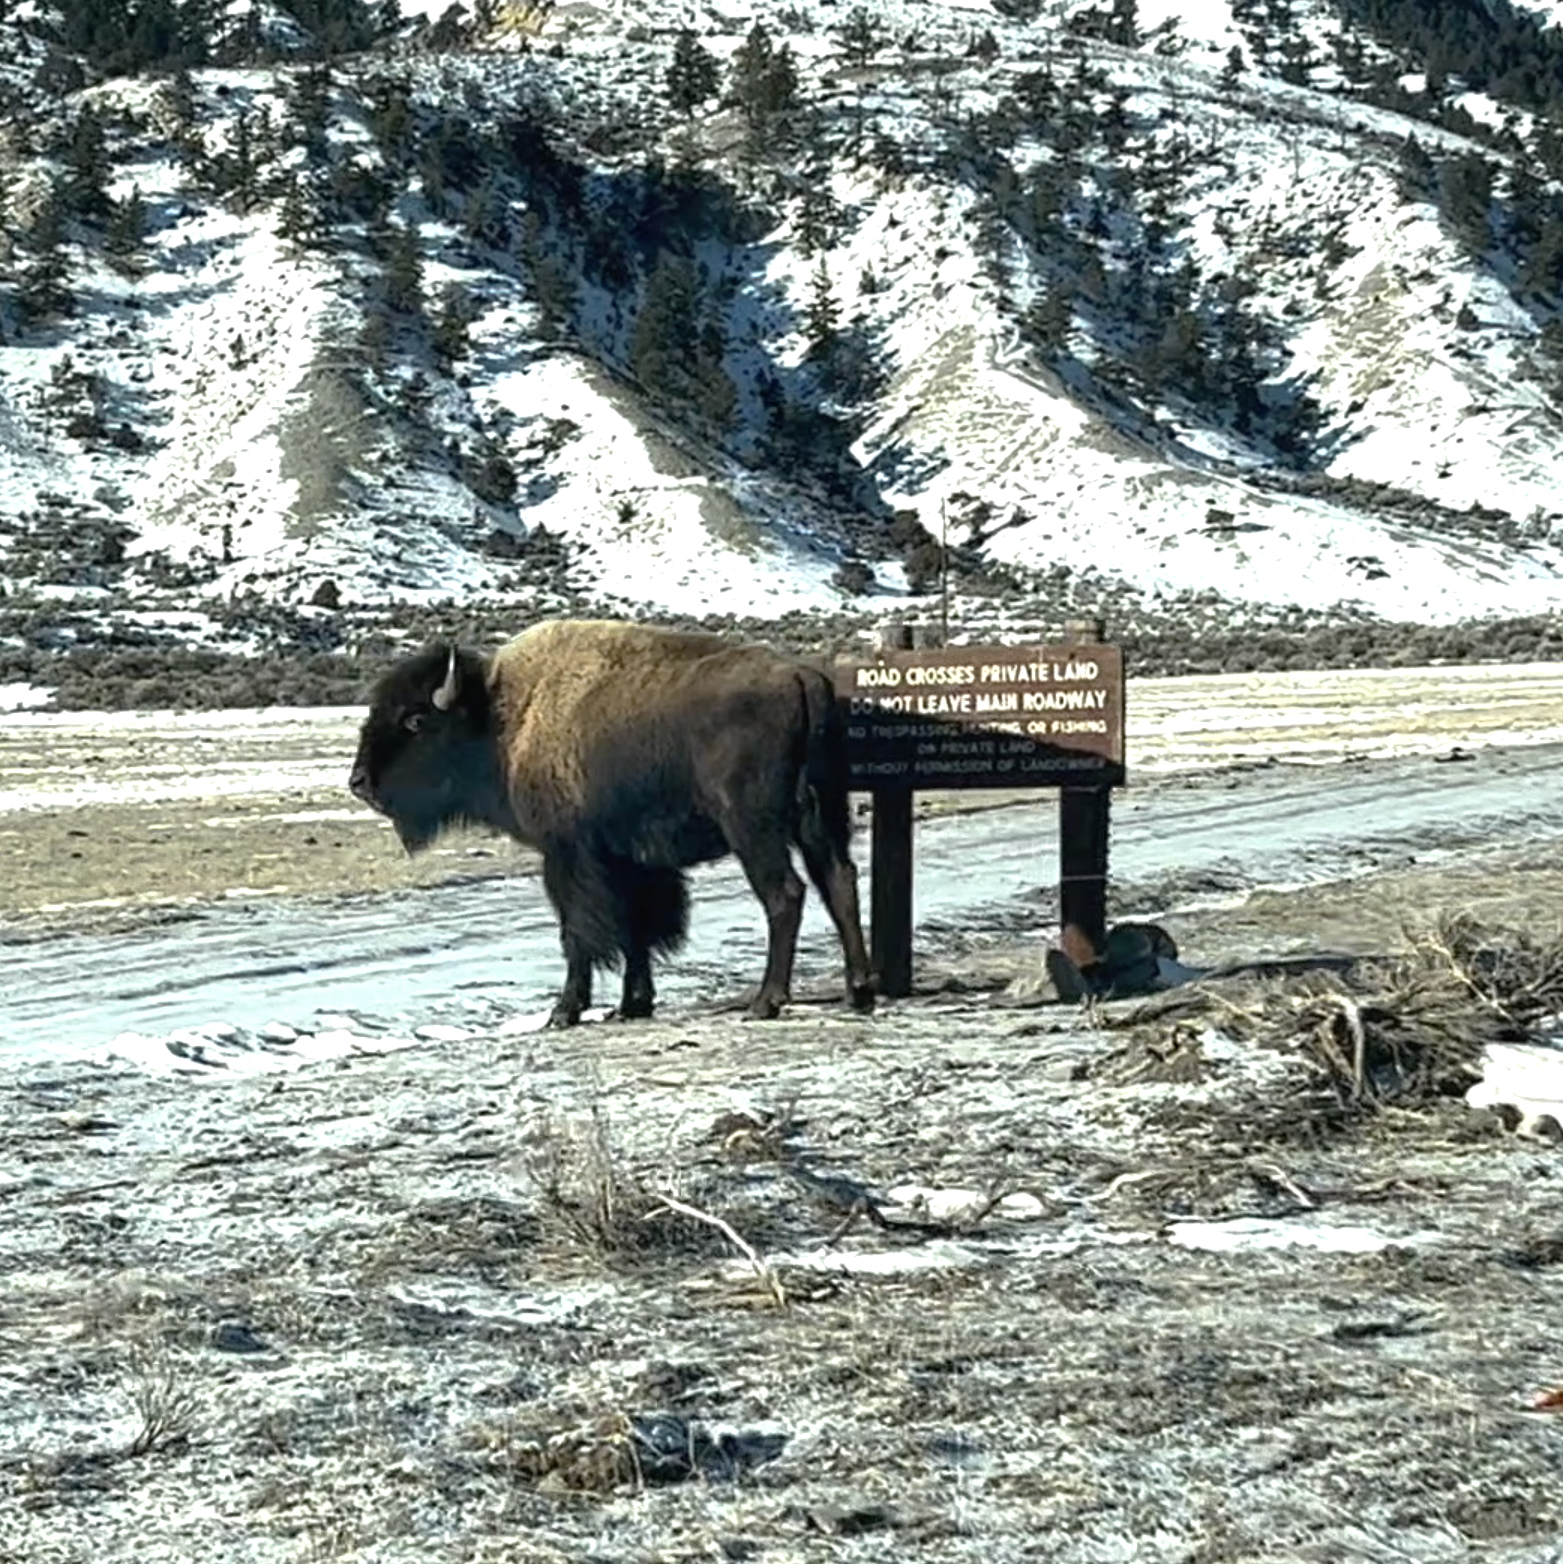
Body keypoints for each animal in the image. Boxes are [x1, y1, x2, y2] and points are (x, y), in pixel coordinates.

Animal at [348, 618, 876, 1027]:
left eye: (415, 721)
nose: (359, 782)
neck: (504, 717)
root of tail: (802, 678)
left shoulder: (569, 856)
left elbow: (579, 933)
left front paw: (564, 1012)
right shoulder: (630, 862)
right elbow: (635, 929)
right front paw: (632, 1004)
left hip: (753, 828)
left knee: (785, 895)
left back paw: (766, 1001)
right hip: (821, 818)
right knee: (839, 881)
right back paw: (859, 992)